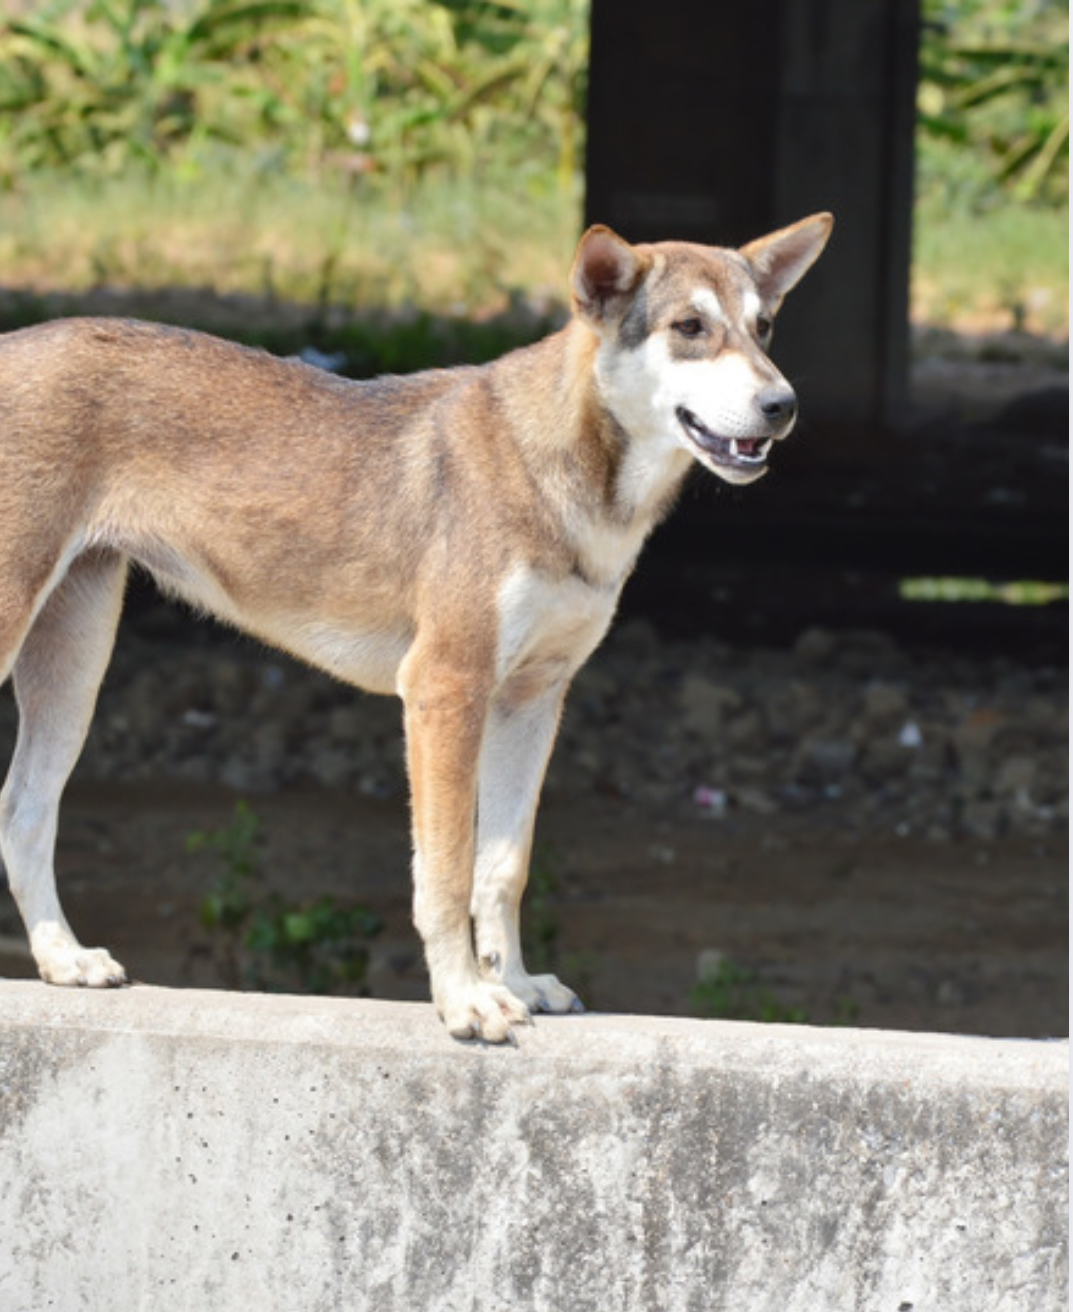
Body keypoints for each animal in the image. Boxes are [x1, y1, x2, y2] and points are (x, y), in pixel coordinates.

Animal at [0, 215, 829, 1039]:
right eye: (689, 327)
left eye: (763, 327)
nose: (783, 404)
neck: (561, 470)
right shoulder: (444, 692)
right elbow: (446, 875)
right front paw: (464, 1000)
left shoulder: (531, 703)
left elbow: (502, 869)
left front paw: (515, 983)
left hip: (74, 672)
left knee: (24, 810)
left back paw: (62, 958)